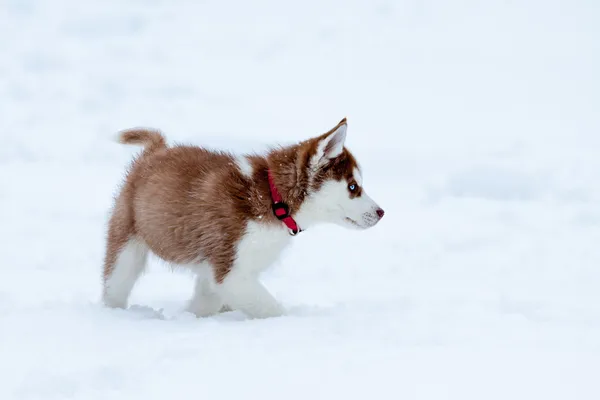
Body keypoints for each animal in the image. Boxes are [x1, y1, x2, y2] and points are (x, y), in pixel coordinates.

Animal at [102, 119, 384, 318]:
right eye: (353, 187)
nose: (382, 213)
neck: (275, 201)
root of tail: (155, 151)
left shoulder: (220, 272)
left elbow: (206, 301)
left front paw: (193, 318)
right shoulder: (229, 271)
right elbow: (270, 308)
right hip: (127, 246)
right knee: (116, 284)